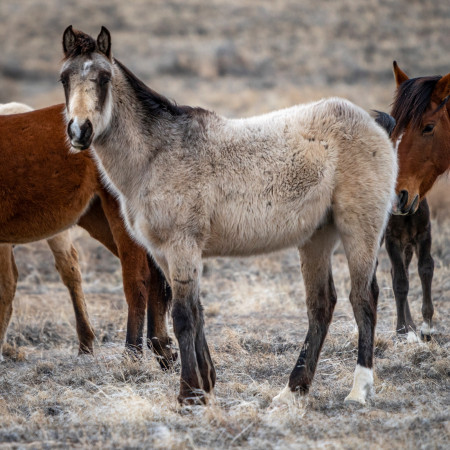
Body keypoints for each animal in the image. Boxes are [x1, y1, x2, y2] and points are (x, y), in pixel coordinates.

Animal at [0, 103, 176, 370]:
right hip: (96, 217)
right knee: (155, 274)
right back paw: (161, 349)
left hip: (116, 213)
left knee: (137, 278)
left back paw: (132, 355)